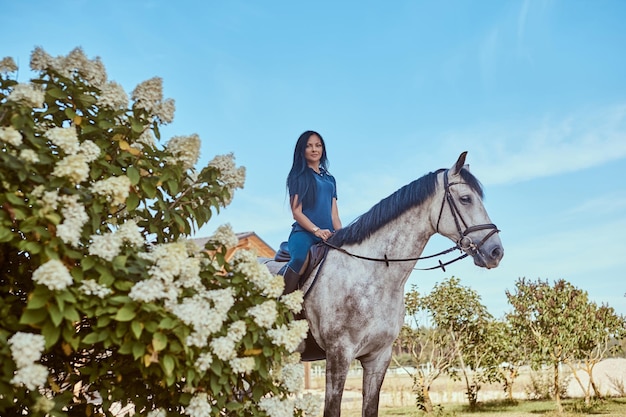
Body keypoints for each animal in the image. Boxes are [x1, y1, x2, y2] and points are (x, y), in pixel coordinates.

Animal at [260, 151, 500, 414]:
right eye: (466, 199)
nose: (495, 251)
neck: (371, 273)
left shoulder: (378, 357)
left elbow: (370, 408)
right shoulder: (339, 354)